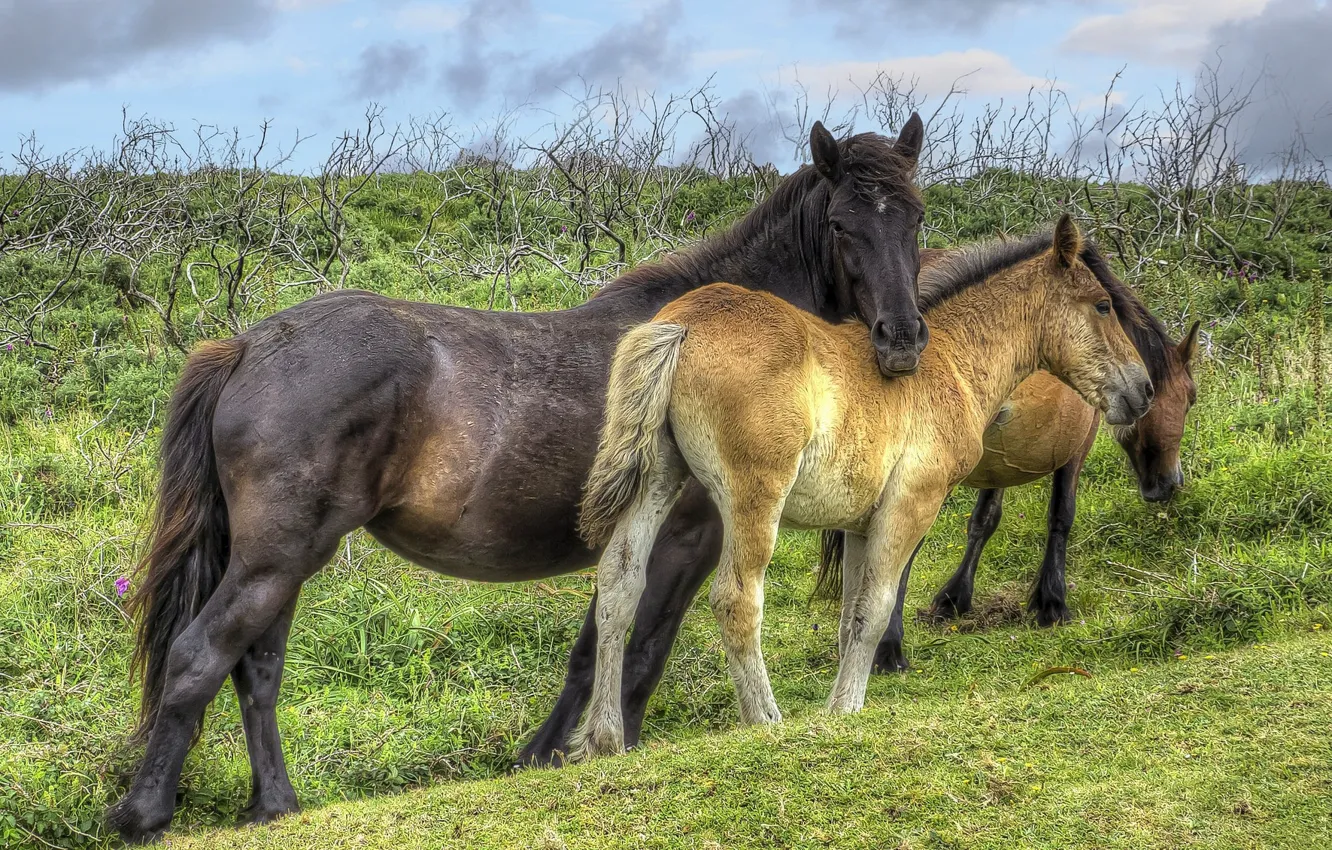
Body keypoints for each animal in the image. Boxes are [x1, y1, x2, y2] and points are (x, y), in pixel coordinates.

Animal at [109, 118, 927, 847]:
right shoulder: (687, 539)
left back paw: (273, 805)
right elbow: (637, 648)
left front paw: (549, 753)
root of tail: (246, 345)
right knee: (199, 657)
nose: (901, 337)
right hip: (276, 559)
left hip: (280, 564)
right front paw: (597, 746)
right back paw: (144, 814)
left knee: (256, 669)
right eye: (842, 222)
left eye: (916, 215)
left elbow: (598, 644)